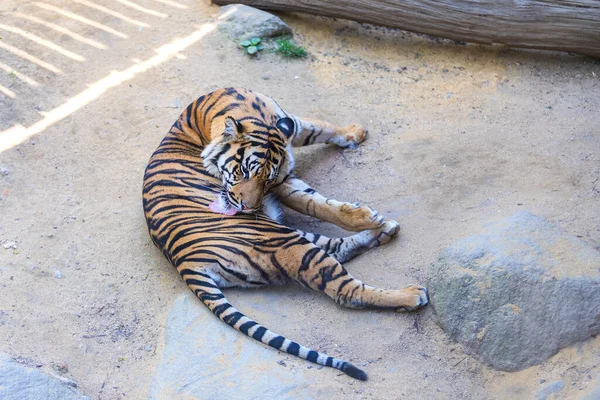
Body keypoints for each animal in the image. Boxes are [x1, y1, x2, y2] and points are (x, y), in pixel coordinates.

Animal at [143, 87, 428, 382]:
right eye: (242, 171)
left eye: (267, 179)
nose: (248, 208)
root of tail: (184, 262)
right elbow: (317, 204)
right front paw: (365, 215)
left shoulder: (288, 147)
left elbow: (320, 135)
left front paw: (354, 133)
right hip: (285, 243)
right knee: (344, 289)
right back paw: (410, 293)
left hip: (289, 236)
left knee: (337, 247)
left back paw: (384, 230)